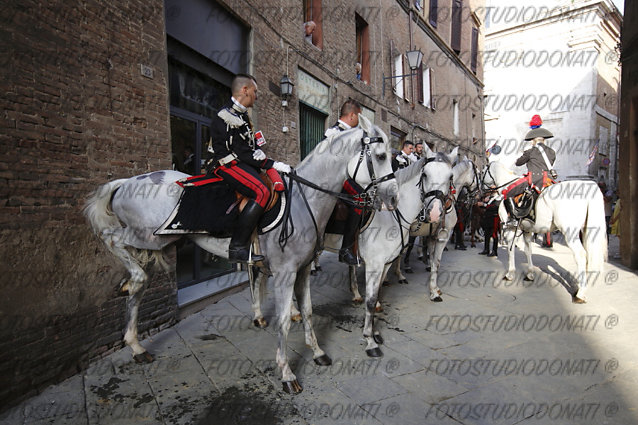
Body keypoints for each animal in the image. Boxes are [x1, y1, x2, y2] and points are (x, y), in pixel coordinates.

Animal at [82, 114, 398, 392]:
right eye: (381, 156)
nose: (393, 197)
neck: (304, 199)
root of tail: (127, 182)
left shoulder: (304, 268)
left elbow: (308, 310)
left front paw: (318, 352)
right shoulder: (285, 273)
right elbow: (284, 321)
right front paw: (287, 374)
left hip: (150, 242)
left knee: (138, 289)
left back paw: (136, 343)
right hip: (147, 236)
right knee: (112, 240)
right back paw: (132, 282)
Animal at [484, 161, 608, 304]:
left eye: (483, 172)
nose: (484, 194)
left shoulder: (510, 229)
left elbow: (511, 251)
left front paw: (510, 274)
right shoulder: (527, 230)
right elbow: (528, 251)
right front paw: (530, 274)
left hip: (570, 233)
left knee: (581, 255)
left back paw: (580, 294)